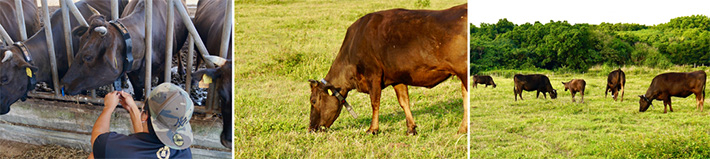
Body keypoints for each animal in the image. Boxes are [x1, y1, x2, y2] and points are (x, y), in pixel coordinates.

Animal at [306, 3, 468, 135]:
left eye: (313, 101)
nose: (311, 129)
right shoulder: (398, 77)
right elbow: (404, 102)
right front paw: (411, 129)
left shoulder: (373, 75)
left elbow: (375, 102)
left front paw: (372, 129)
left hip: (464, 72)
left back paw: (462, 129)